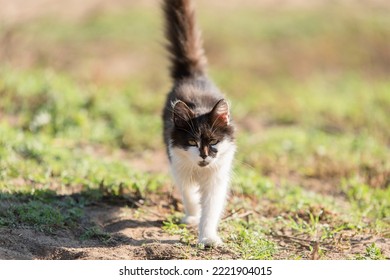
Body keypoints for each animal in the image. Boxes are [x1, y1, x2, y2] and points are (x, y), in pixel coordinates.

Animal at [162, 0, 236, 245]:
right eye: (193, 142)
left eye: (213, 141)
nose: (204, 155)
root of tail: (193, 76)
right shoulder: (178, 165)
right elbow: (189, 194)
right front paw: (192, 217)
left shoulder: (218, 179)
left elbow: (211, 210)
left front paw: (207, 237)